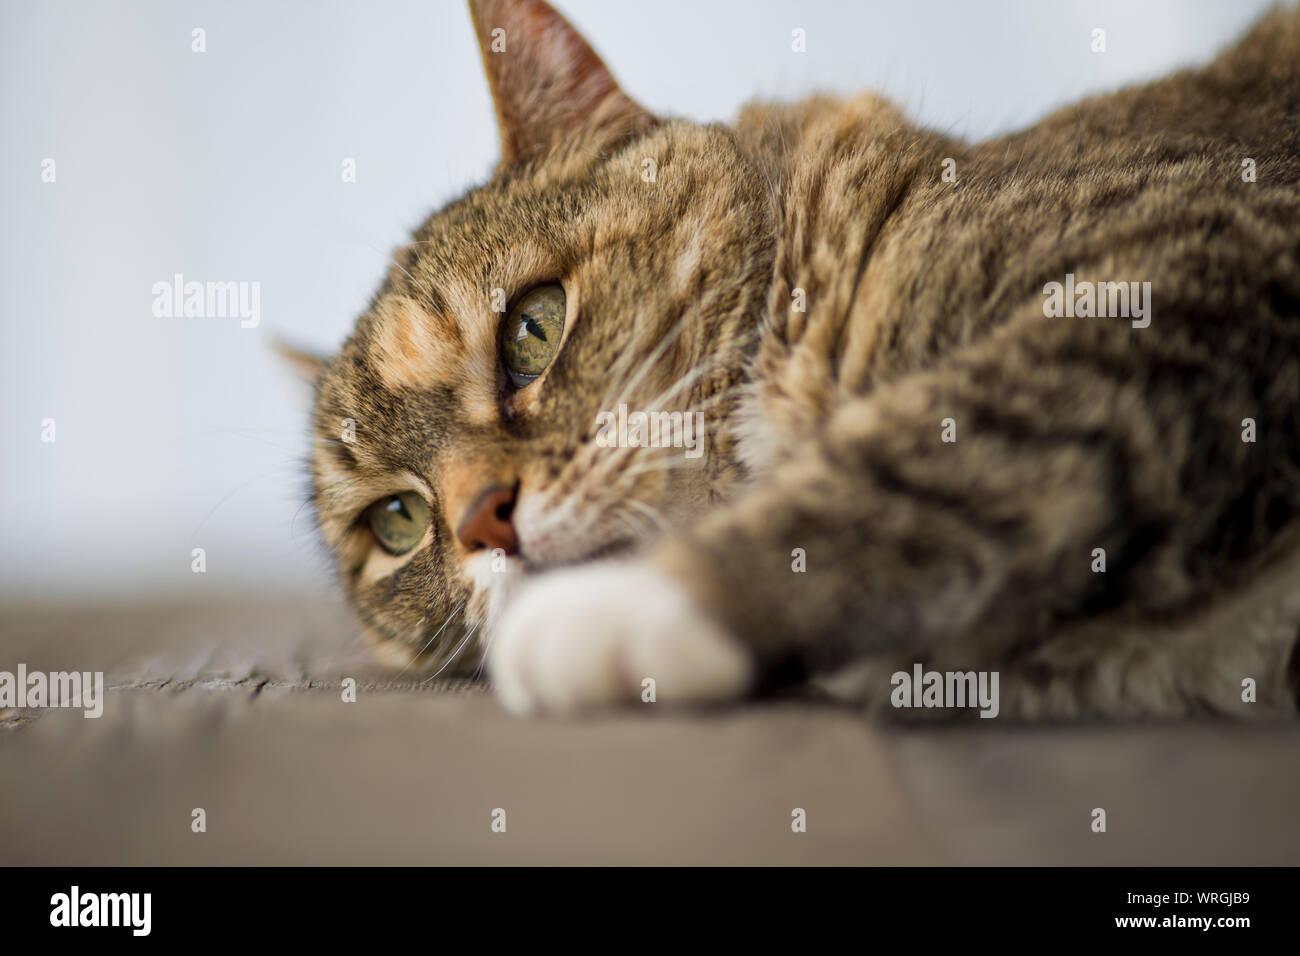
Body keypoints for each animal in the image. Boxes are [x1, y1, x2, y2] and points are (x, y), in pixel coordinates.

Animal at [295, 0, 1300, 717]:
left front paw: (635, 609)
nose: (482, 522)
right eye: (397, 522)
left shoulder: (1189, 255)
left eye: (532, 331)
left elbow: (938, 465)